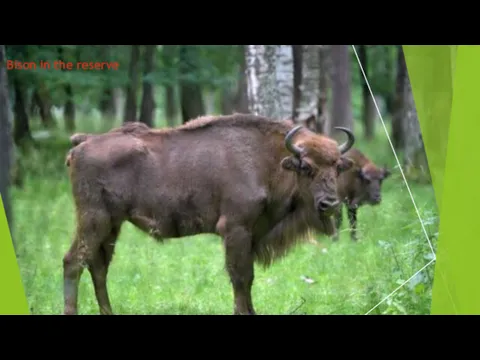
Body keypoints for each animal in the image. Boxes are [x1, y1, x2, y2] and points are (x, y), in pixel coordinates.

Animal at [62, 113, 356, 316]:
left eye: (337, 167)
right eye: (306, 166)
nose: (330, 204)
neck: (269, 161)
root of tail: (83, 143)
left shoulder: (252, 234)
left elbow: (248, 278)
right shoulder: (236, 229)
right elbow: (240, 277)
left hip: (112, 224)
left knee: (98, 266)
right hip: (94, 220)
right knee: (73, 262)